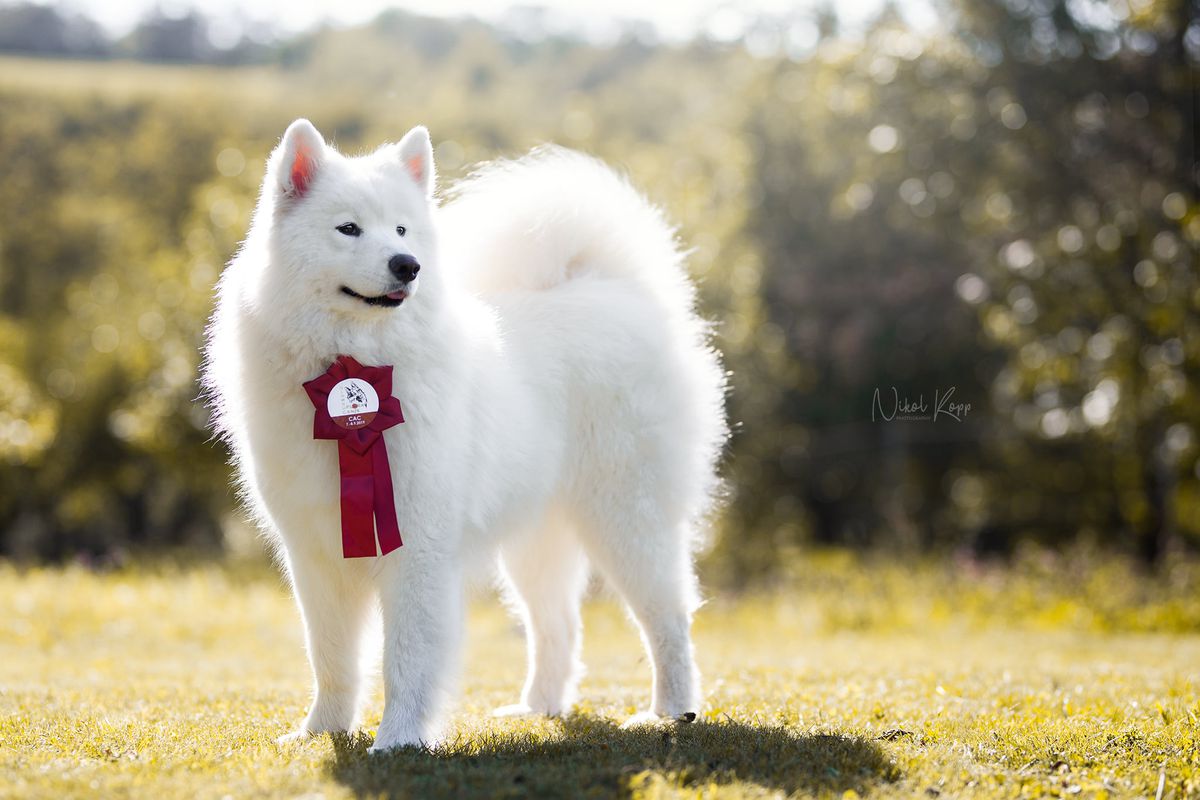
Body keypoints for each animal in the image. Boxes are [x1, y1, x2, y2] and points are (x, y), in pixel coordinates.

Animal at [202, 118, 724, 753]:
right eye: (349, 228)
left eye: (402, 229)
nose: (408, 264)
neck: (354, 364)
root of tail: (617, 290)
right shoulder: (317, 553)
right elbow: (331, 657)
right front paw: (321, 731)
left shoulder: (416, 547)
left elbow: (405, 657)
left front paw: (398, 741)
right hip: (536, 539)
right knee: (558, 625)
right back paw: (536, 709)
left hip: (628, 519)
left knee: (668, 619)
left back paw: (669, 712)